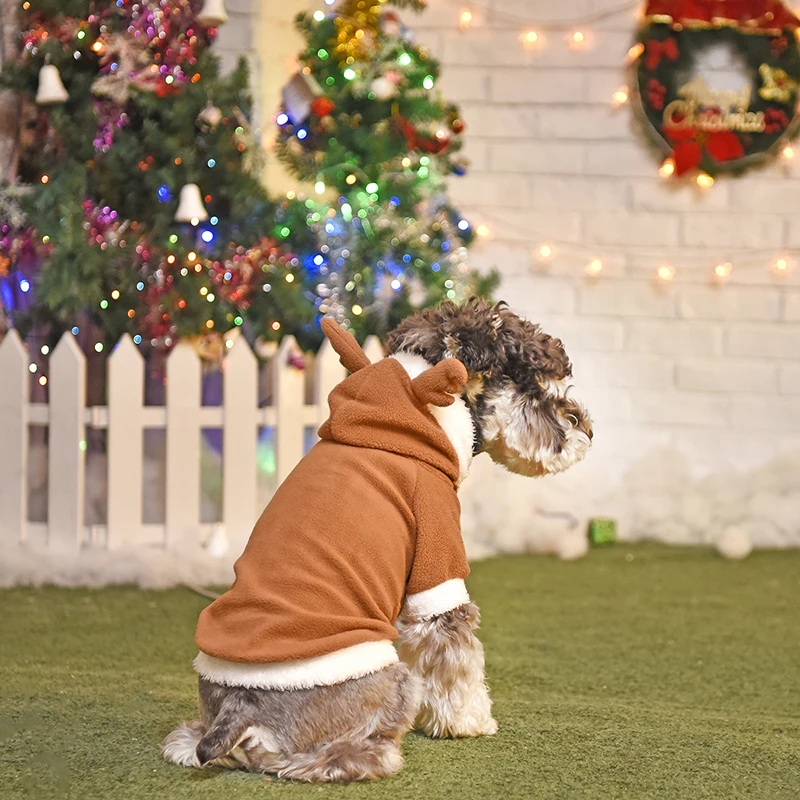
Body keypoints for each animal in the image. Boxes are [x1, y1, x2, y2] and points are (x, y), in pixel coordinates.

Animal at [162, 298, 592, 780]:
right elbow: (457, 656)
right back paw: (378, 753)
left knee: (191, 741)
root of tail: (241, 711)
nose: (585, 429)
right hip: (392, 678)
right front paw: (470, 722)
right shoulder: (437, 564)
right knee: (320, 760)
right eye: (533, 387)